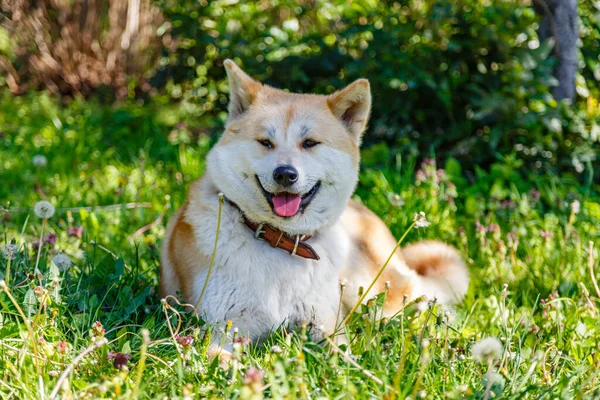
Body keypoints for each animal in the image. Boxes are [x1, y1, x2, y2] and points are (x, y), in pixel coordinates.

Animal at [161, 60, 468, 360]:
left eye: (309, 143)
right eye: (265, 142)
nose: (285, 174)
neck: (279, 240)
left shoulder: (325, 326)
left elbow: (342, 360)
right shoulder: (219, 329)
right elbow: (222, 359)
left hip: (371, 289)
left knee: (419, 292)